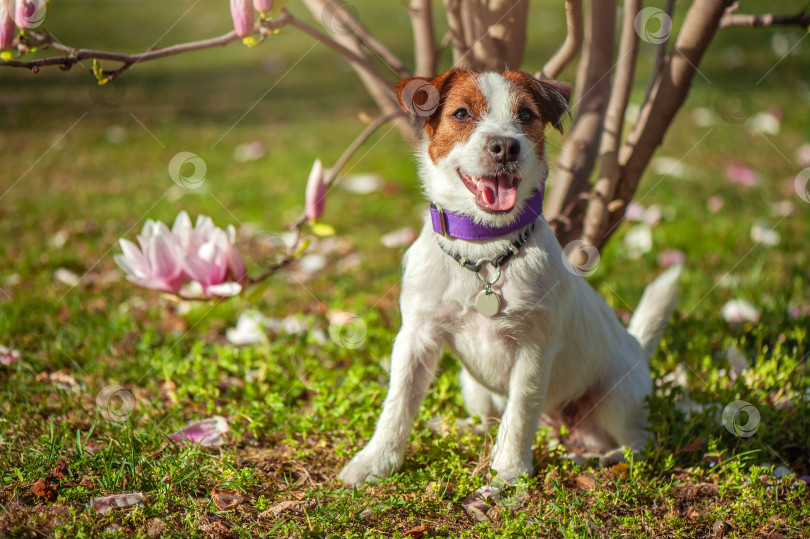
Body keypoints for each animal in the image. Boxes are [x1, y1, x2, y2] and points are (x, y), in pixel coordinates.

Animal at [338, 69, 680, 488]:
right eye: (462, 113)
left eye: (526, 115)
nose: (505, 146)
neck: (484, 250)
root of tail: (639, 348)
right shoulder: (415, 337)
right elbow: (398, 404)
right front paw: (375, 462)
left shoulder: (534, 350)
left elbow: (520, 413)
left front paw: (509, 472)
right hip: (474, 387)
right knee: (490, 420)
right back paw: (463, 428)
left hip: (617, 397)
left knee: (639, 441)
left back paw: (604, 458)